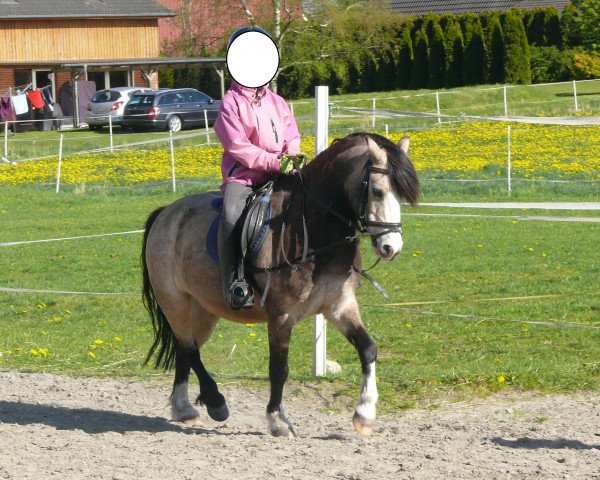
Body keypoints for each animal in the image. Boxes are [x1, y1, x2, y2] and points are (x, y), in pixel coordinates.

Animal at [142, 131, 420, 436]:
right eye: (378, 191)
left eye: (400, 196)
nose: (391, 247)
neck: (314, 228)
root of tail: (166, 212)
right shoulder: (281, 314)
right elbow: (279, 368)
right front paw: (277, 419)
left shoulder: (339, 305)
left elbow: (368, 349)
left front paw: (365, 413)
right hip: (175, 302)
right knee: (189, 348)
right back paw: (215, 402)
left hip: (203, 309)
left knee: (185, 348)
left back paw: (184, 409)